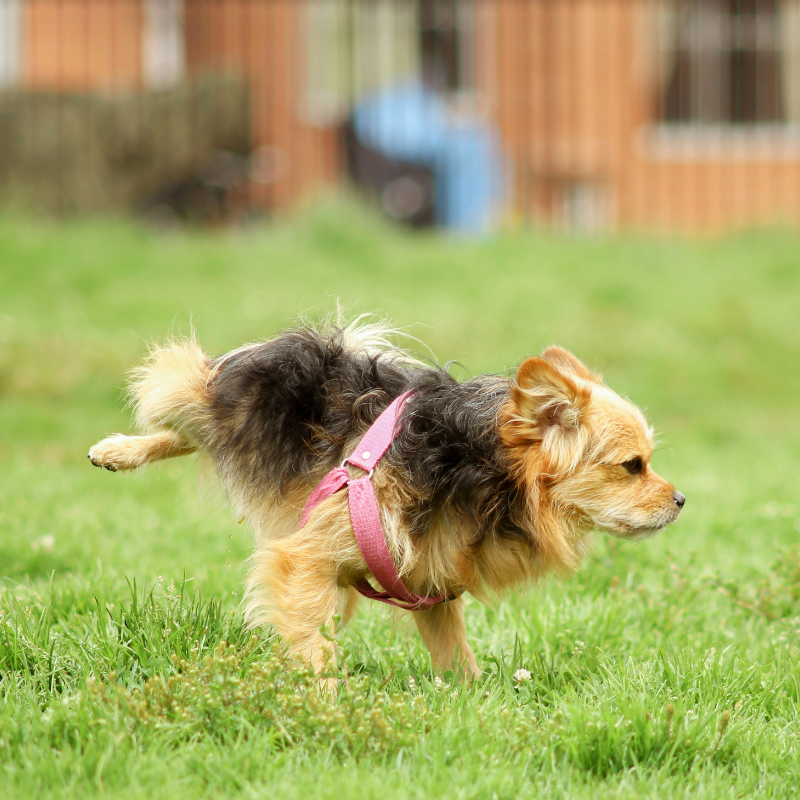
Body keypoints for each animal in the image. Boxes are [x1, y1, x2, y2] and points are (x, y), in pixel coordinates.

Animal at [90, 316, 684, 680]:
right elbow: (313, 647)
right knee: (179, 395)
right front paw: (323, 705)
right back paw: (119, 447)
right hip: (214, 400)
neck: (482, 471)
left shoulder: (430, 582)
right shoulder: (306, 556)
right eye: (633, 466)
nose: (681, 500)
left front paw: (473, 702)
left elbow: (455, 655)